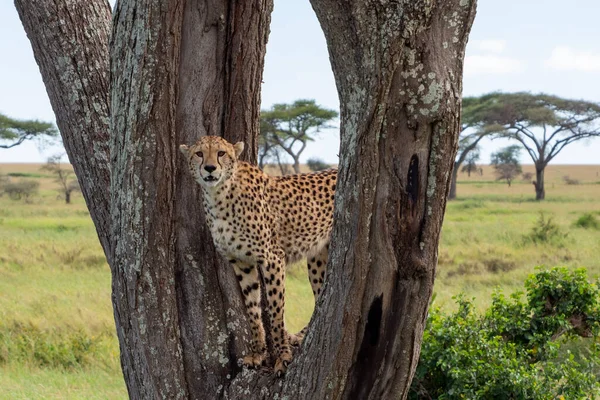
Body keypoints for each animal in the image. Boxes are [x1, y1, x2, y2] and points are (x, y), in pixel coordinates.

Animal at [178, 137, 338, 376]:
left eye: (221, 153)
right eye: (199, 154)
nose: (210, 168)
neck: (219, 195)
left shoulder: (273, 258)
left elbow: (275, 311)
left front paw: (282, 356)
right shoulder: (241, 263)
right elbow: (252, 309)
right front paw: (257, 353)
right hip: (317, 259)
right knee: (321, 297)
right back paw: (301, 335)